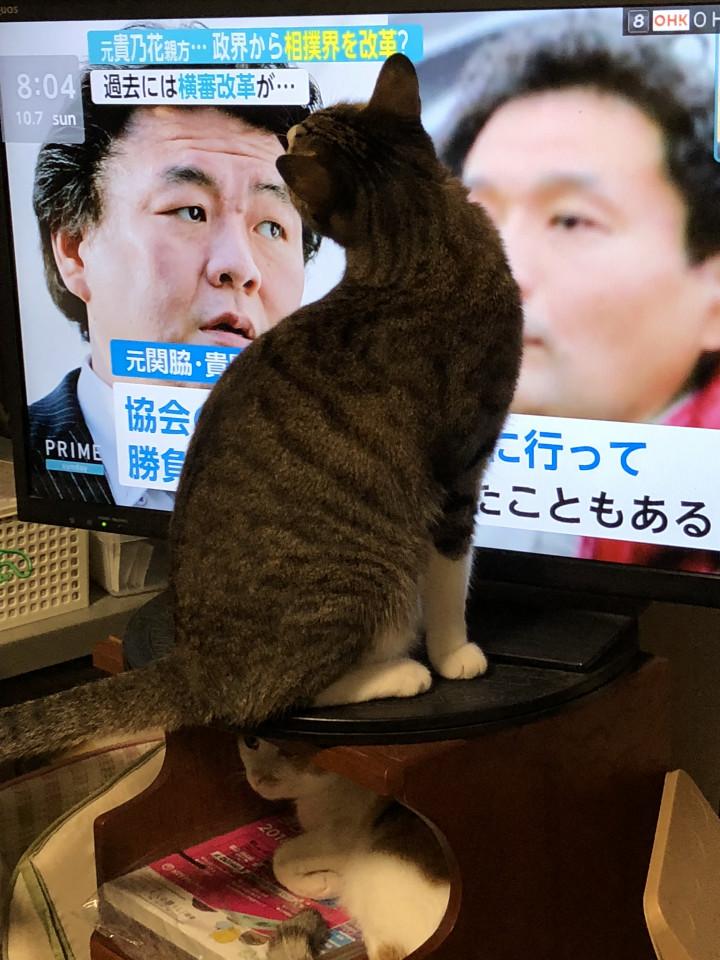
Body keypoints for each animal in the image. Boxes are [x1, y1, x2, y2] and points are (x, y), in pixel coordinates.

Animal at [0, 53, 522, 763]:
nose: (291, 133)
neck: (419, 245)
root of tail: (195, 664)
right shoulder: (459, 469)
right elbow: (450, 579)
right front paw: (456, 654)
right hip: (365, 581)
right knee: (268, 699)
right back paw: (401, 672)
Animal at [239, 736, 450, 960]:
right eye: (251, 742)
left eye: (290, 752)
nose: (258, 778)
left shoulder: (338, 841)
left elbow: (280, 857)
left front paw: (327, 882)